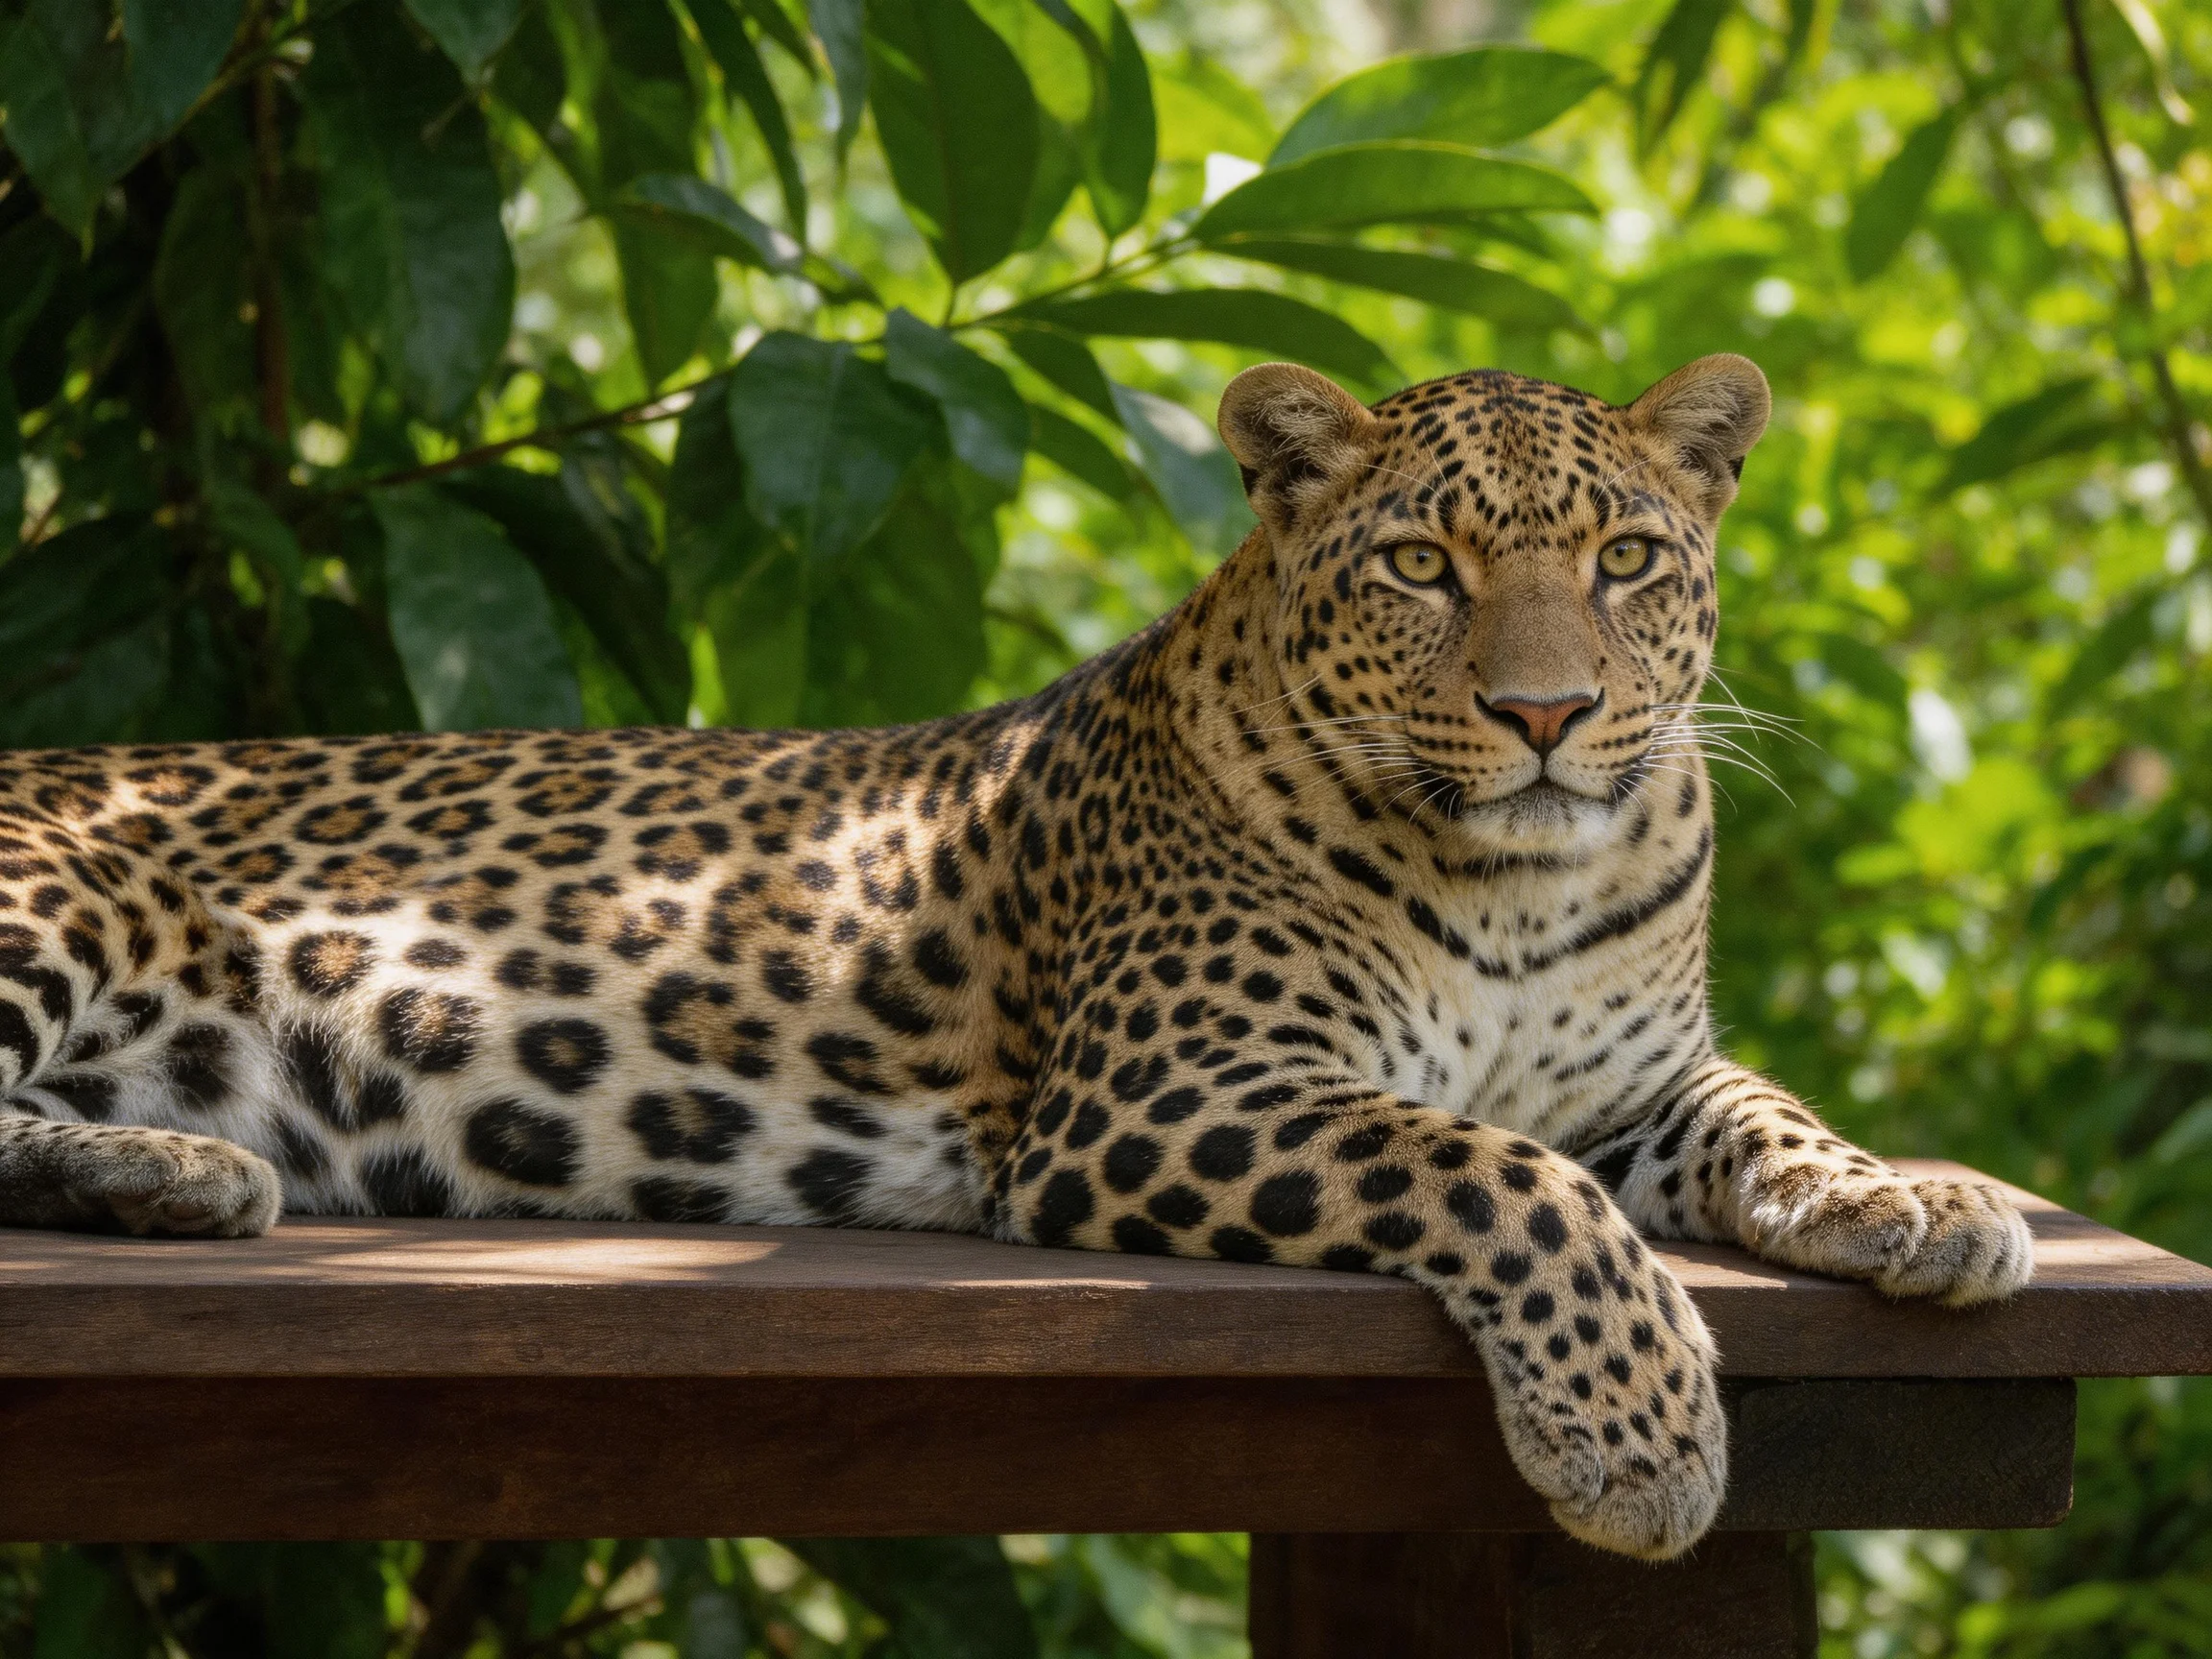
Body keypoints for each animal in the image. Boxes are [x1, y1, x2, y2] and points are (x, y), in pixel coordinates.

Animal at [0, 352, 2032, 1560]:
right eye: (1420, 569)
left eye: (1621, 557)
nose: (1546, 715)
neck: (1518, 884)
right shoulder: (1158, 1095)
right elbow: (1496, 1172)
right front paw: (1634, 1436)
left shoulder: (1636, 1077)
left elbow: (1759, 1113)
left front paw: (1919, 1200)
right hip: (73, 891)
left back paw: (168, 1167)